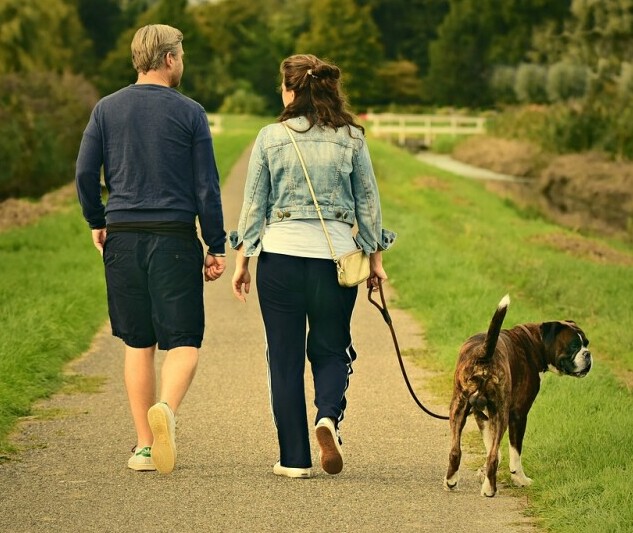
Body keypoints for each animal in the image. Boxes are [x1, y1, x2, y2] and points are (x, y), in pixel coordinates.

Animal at [442, 296, 592, 494]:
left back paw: (451, 481)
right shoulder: (518, 414)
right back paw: (490, 490)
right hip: (502, 413)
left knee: (455, 451)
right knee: (492, 455)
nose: (588, 354)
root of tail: (484, 354)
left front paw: (484, 473)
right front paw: (520, 479)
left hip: (458, 408)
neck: (535, 342)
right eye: (574, 345)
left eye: (586, 343)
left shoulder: (481, 414)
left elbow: (493, 448)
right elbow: (514, 453)